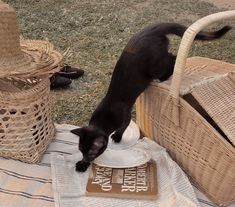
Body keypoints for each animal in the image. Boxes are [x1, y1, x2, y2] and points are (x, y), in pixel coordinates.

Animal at [70, 22, 231, 171]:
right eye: (81, 151)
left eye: (91, 153)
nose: (86, 158)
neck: (102, 118)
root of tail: (151, 29)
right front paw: (81, 164)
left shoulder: (125, 116)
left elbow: (124, 126)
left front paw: (116, 137)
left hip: (156, 66)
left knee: (173, 58)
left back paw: (165, 75)